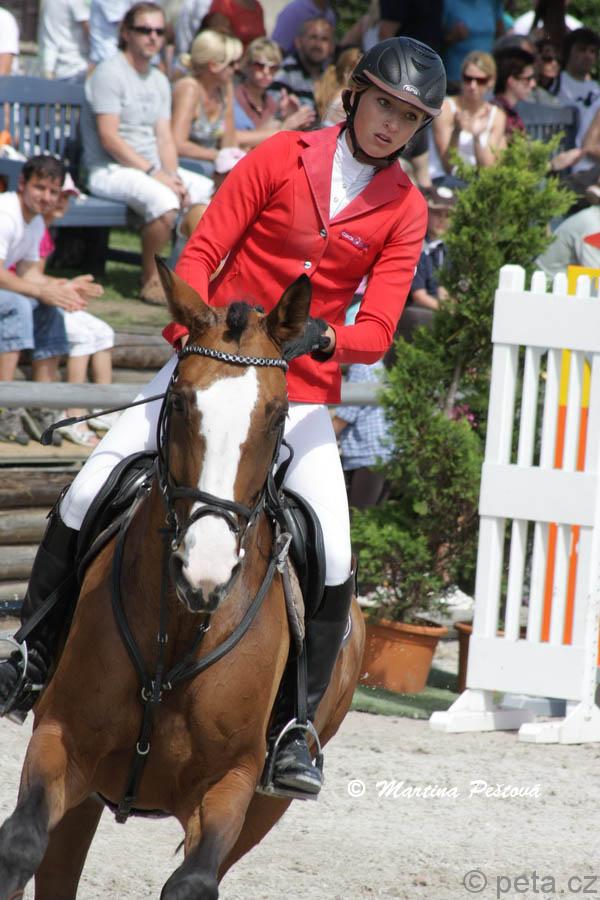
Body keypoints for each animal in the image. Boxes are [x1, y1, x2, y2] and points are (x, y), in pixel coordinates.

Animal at [0, 266, 365, 899]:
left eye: (278, 414)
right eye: (178, 400)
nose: (204, 571)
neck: (180, 628)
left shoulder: (230, 786)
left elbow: (192, 882)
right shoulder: (60, 740)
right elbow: (18, 844)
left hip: (267, 806)